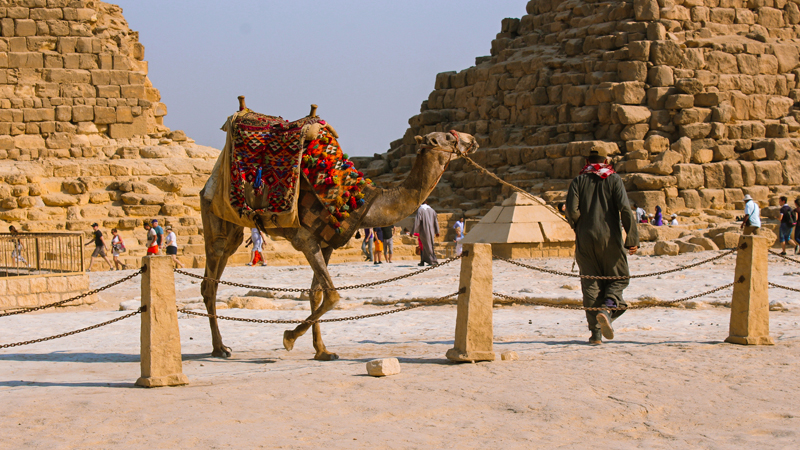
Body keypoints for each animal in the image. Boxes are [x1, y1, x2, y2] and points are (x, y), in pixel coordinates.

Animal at [198, 101, 478, 358]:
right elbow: (332, 296)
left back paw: (220, 345)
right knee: (210, 280)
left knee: (217, 272)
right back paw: (219, 348)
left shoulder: (327, 243)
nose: (471, 139)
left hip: (233, 227)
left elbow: (315, 293)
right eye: (446, 137)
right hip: (214, 214)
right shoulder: (306, 240)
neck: (362, 201)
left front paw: (322, 351)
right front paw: (289, 337)